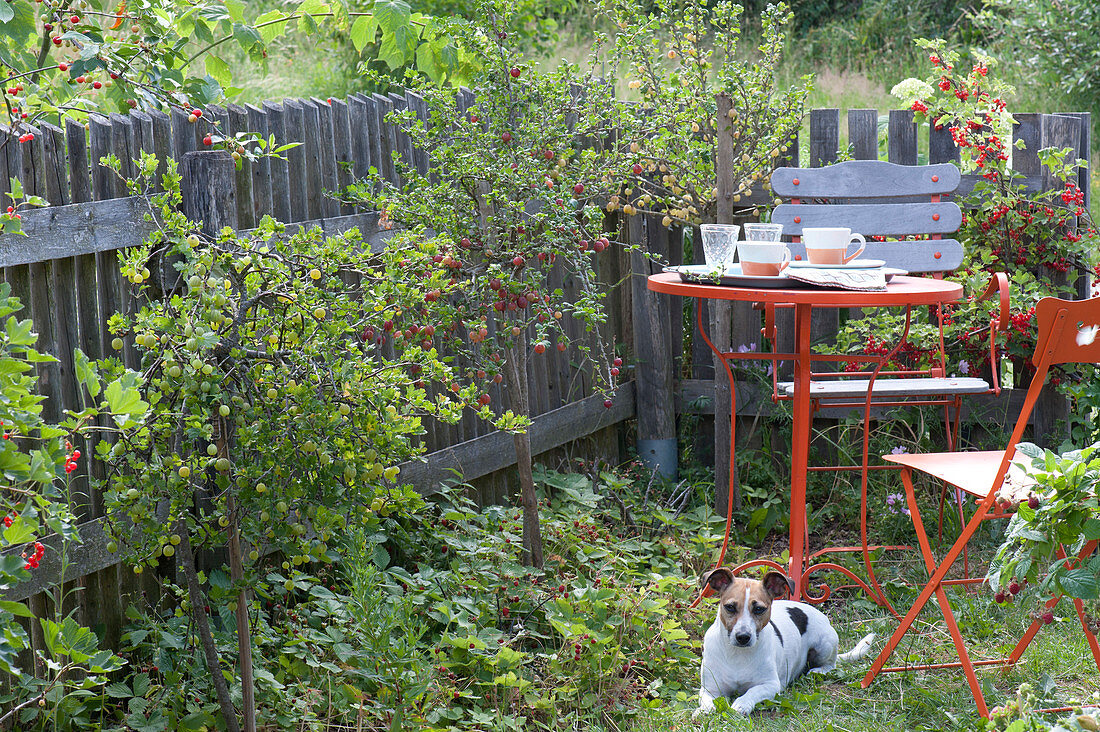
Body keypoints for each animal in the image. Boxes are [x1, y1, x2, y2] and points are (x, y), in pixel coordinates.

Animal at [695, 567, 875, 717]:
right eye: (730, 607)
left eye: (759, 609)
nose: (743, 637)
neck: (737, 654)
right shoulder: (710, 688)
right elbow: (707, 700)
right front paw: (704, 710)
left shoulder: (770, 685)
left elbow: (751, 692)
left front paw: (742, 704)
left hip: (824, 645)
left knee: (831, 665)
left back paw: (818, 670)